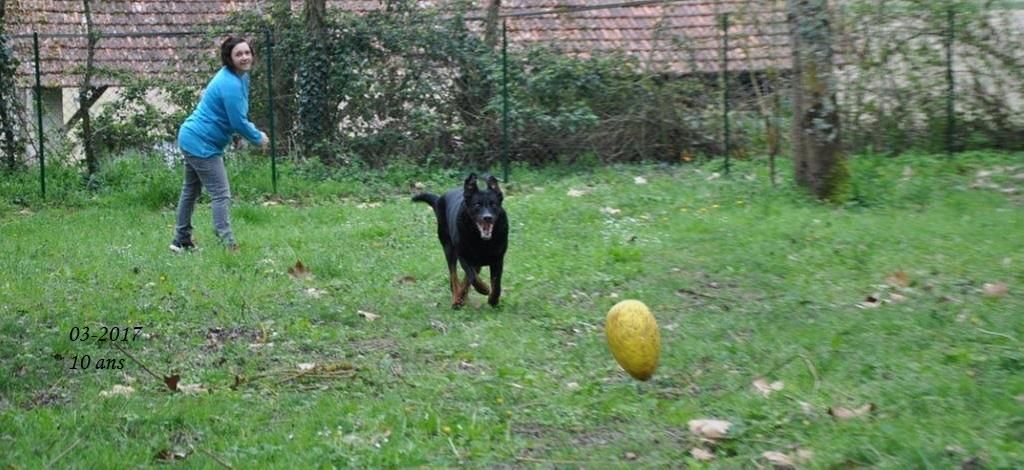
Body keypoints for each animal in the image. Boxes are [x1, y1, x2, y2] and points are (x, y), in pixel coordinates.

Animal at [411, 173, 507, 309]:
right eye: (477, 205)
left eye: (493, 204)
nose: (487, 217)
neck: (482, 241)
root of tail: (439, 199)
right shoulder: (464, 257)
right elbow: (473, 277)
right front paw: (484, 289)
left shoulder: (498, 259)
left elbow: (496, 282)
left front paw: (493, 300)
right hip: (449, 249)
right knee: (454, 277)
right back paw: (457, 299)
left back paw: (463, 297)